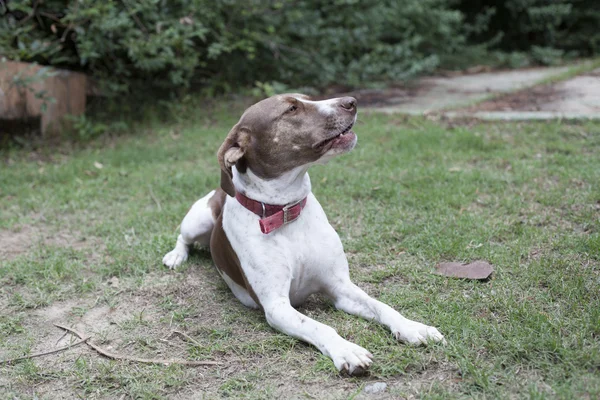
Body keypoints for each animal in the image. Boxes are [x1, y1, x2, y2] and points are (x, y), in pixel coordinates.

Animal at [162, 94, 442, 376]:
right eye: (291, 109)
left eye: (308, 98)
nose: (351, 101)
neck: (286, 212)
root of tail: (222, 192)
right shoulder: (277, 307)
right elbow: (320, 327)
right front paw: (346, 350)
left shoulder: (340, 286)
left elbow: (382, 306)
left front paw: (412, 327)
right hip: (198, 220)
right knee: (183, 238)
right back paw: (175, 256)